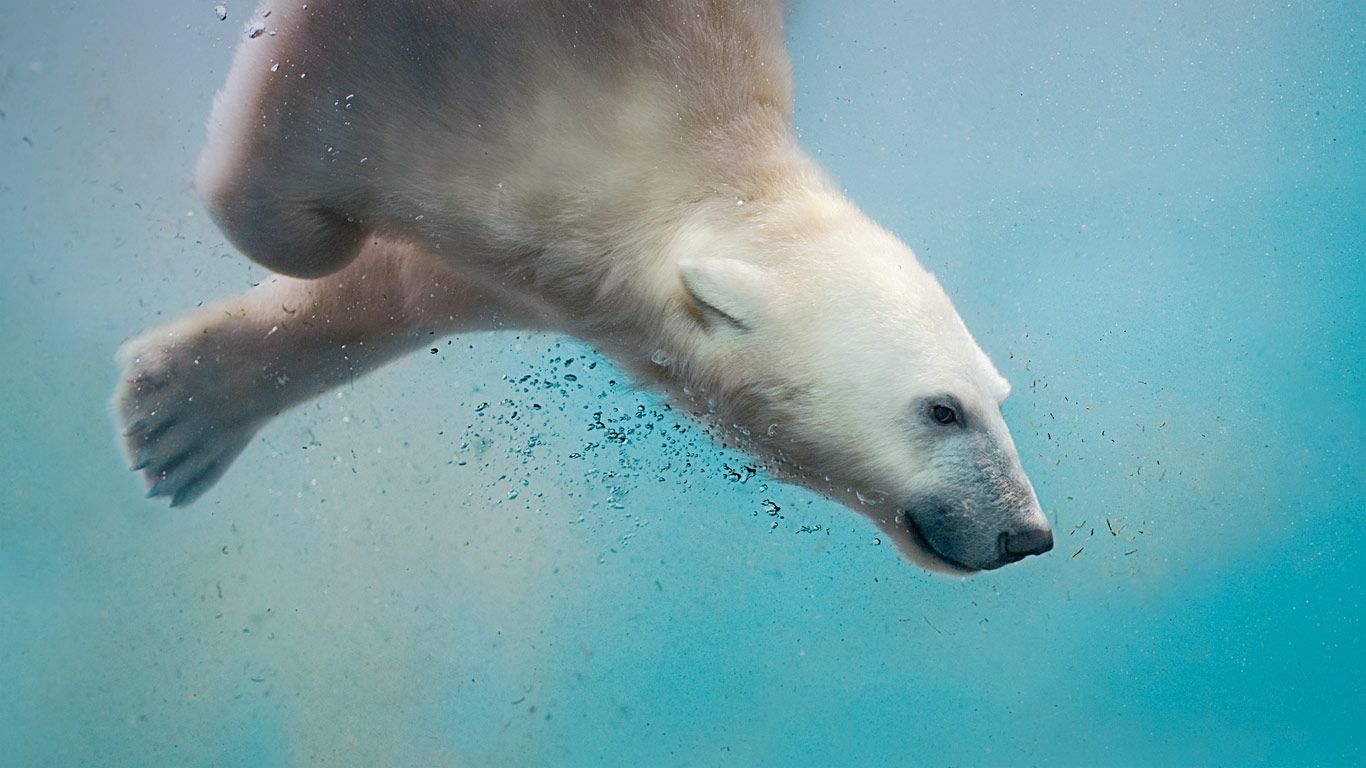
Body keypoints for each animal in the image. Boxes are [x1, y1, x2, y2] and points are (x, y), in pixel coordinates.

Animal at [114, 0, 1053, 573]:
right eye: (942, 409)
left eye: (998, 395)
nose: (1028, 533)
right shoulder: (438, 69)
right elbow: (296, 215)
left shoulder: (543, 249)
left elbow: (422, 281)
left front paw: (177, 413)